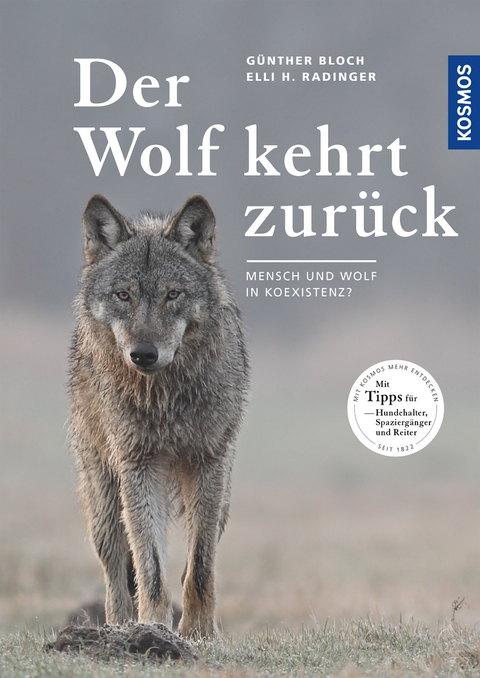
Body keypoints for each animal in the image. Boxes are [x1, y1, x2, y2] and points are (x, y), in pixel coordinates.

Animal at [69, 194, 249, 637]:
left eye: (173, 294)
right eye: (123, 295)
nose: (144, 354)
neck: (165, 400)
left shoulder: (209, 464)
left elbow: (199, 566)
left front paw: (198, 631)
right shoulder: (139, 466)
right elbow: (149, 566)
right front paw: (152, 628)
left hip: (223, 499)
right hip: (104, 502)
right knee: (117, 573)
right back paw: (117, 628)